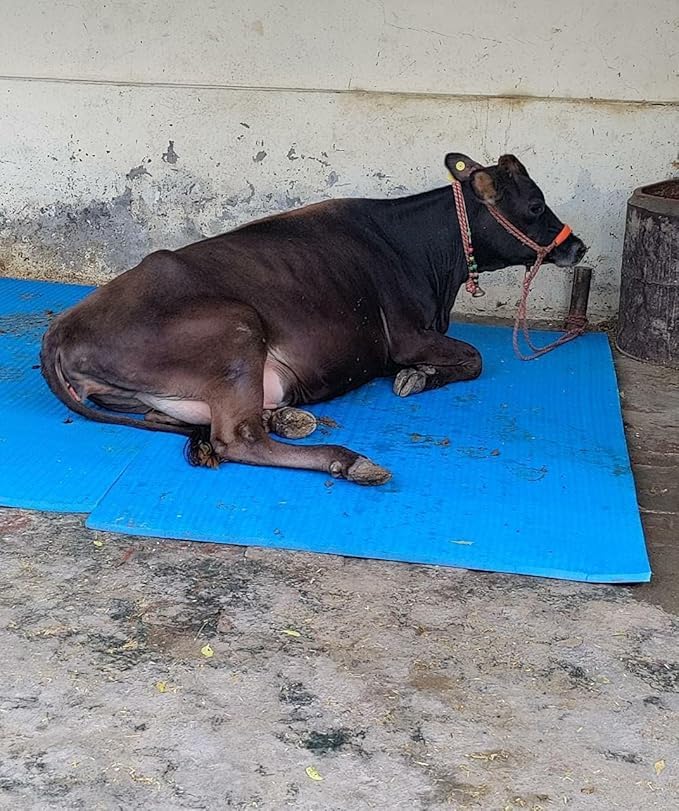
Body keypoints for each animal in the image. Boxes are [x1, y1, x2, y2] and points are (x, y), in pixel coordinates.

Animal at [40, 153, 586, 485]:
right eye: (535, 204)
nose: (578, 246)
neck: (428, 255)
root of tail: (60, 329)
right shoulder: (406, 336)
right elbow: (474, 359)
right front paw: (416, 377)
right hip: (237, 328)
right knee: (237, 438)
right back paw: (348, 458)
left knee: (178, 419)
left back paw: (288, 417)